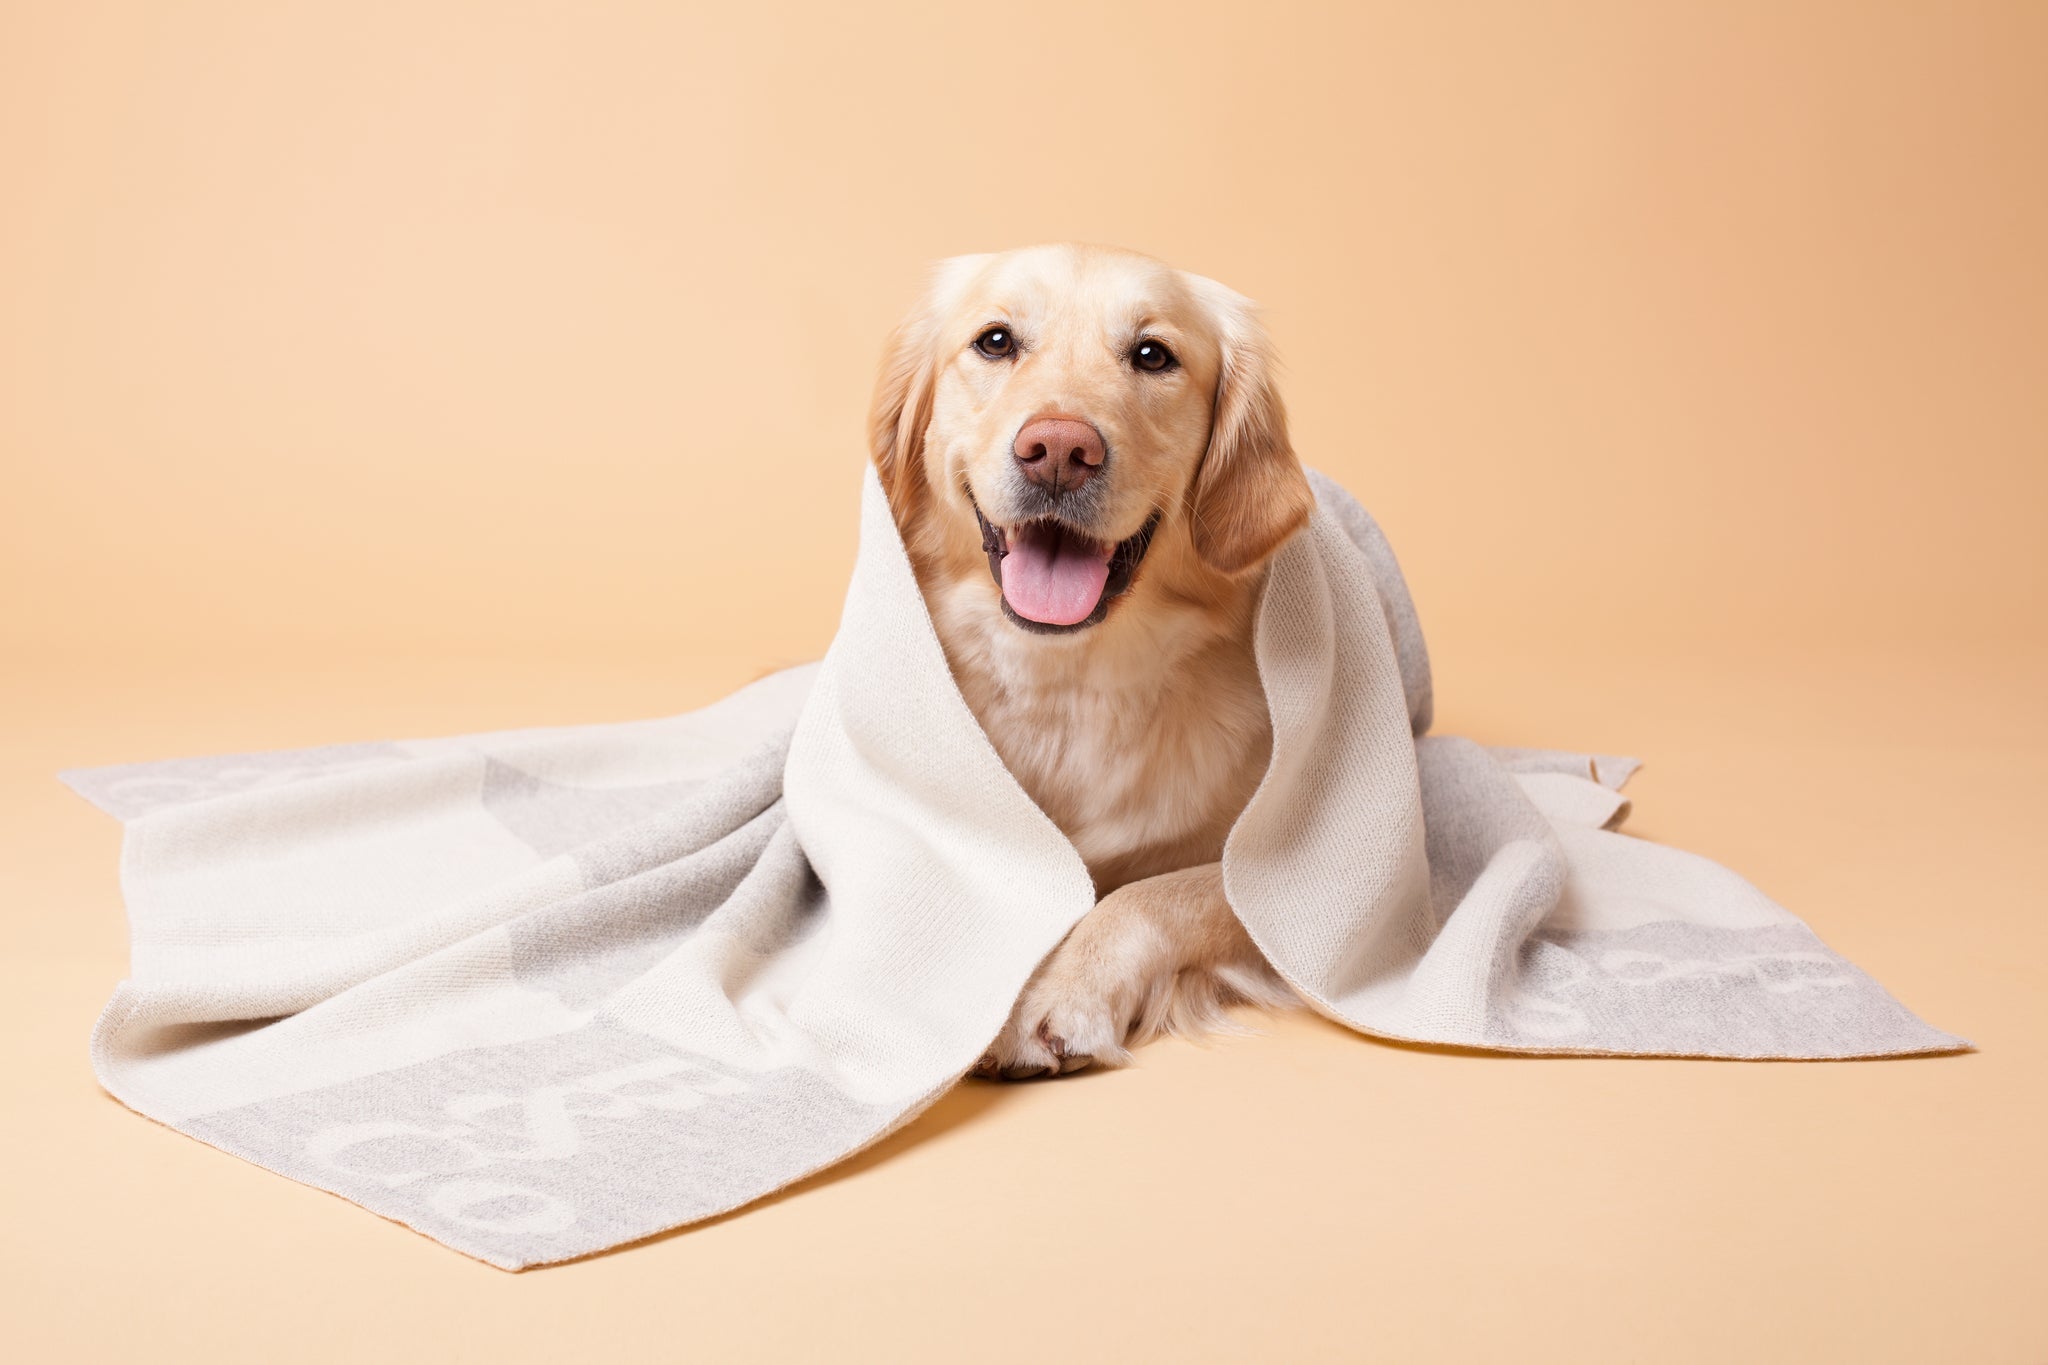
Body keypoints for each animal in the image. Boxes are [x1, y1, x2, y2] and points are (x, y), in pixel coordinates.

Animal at [864, 242, 1310, 1080]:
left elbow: (1159, 894)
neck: (1070, 685)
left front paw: (1057, 992)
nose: (1060, 451)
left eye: (1153, 355)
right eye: (996, 341)